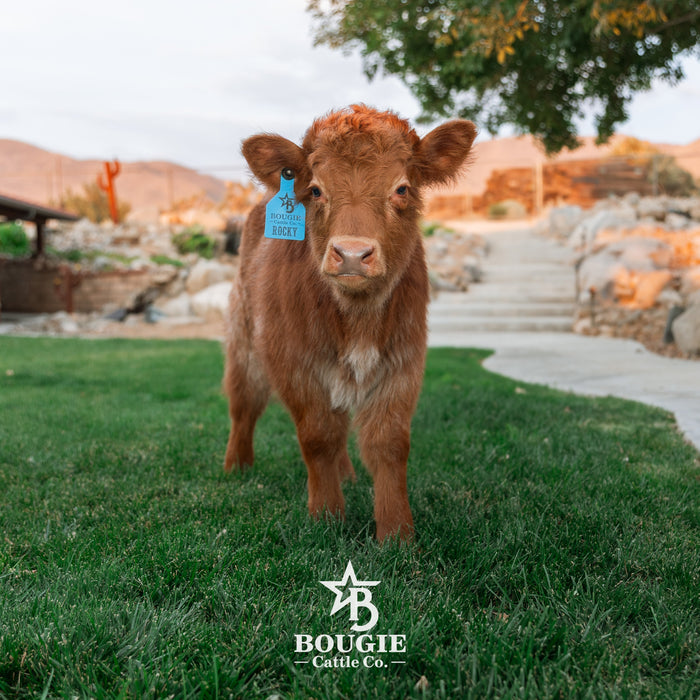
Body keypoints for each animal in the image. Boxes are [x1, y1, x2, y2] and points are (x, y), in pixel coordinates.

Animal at [223, 105, 476, 541]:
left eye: (402, 188)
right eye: (316, 190)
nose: (353, 254)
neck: (357, 318)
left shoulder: (404, 361)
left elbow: (388, 443)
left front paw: (397, 533)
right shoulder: (294, 363)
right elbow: (317, 436)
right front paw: (327, 516)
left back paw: (346, 475)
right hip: (244, 341)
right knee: (244, 404)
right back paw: (236, 467)